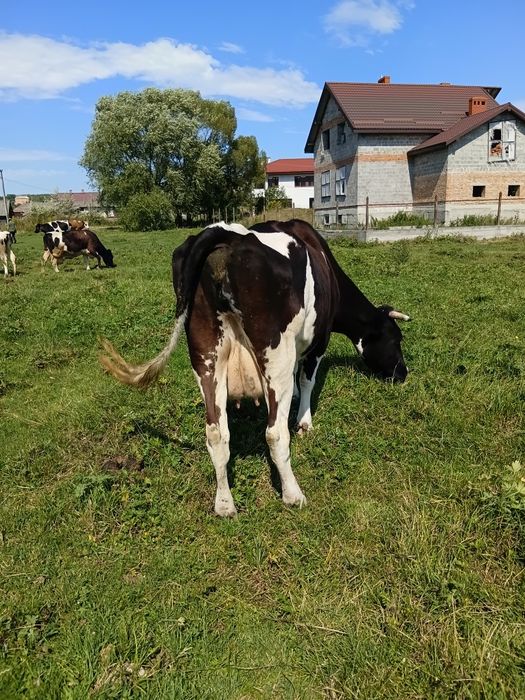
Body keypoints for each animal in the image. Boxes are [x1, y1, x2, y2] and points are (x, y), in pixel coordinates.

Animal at [100, 219, 409, 517]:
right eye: (396, 338)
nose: (402, 374)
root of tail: (223, 234)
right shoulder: (319, 340)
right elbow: (307, 380)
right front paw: (304, 421)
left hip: (206, 355)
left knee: (216, 433)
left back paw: (225, 504)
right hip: (275, 354)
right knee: (275, 433)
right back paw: (293, 495)